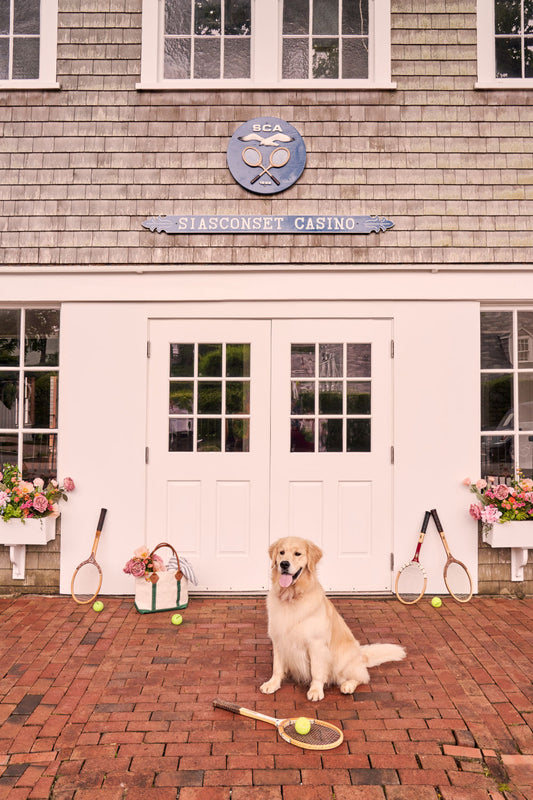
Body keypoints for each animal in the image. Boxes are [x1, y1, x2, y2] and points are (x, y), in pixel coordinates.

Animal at [260, 536, 406, 700]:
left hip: (341, 660)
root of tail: (360, 654)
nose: (284, 564)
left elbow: (317, 671)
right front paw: (272, 683)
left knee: (362, 677)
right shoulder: (279, 639)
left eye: (297, 554)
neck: (291, 596)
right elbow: (277, 667)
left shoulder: (316, 644)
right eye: (281, 552)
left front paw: (316, 690)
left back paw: (348, 686)